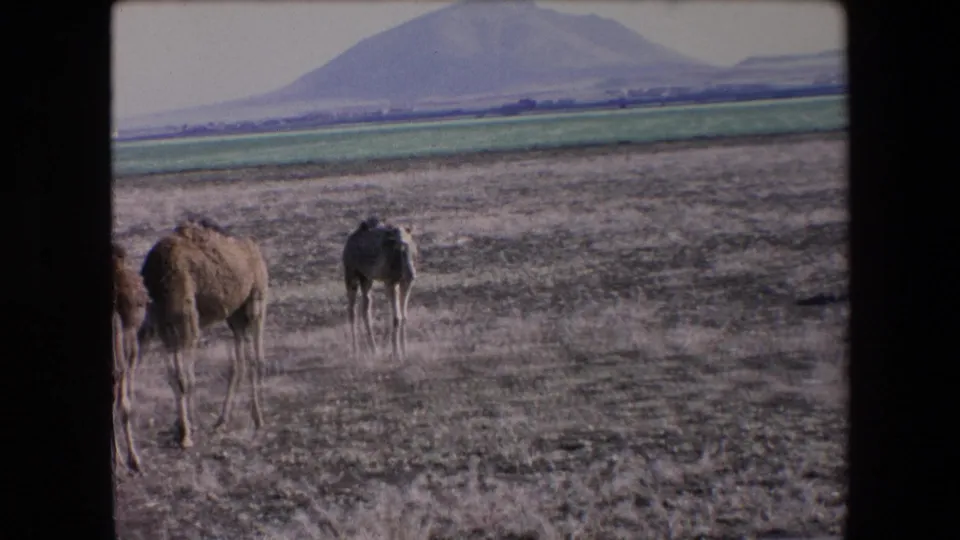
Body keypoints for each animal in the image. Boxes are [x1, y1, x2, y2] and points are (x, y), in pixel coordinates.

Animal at [137, 217, 269, 449]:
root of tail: (253, 247)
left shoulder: (185, 322)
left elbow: (185, 379)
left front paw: (186, 433)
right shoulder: (164, 328)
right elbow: (174, 378)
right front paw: (180, 428)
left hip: (256, 300)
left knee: (256, 358)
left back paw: (258, 419)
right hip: (234, 315)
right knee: (240, 361)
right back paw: (222, 421)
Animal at [342, 216, 418, 359]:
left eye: (412, 249)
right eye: (399, 249)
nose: (412, 274)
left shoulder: (405, 284)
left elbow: (404, 316)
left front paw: (404, 351)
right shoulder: (390, 282)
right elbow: (397, 317)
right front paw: (396, 353)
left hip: (367, 279)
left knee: (365, 309)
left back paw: (374, 349)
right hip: (351, 276)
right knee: (351, 310)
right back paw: (356, 350)